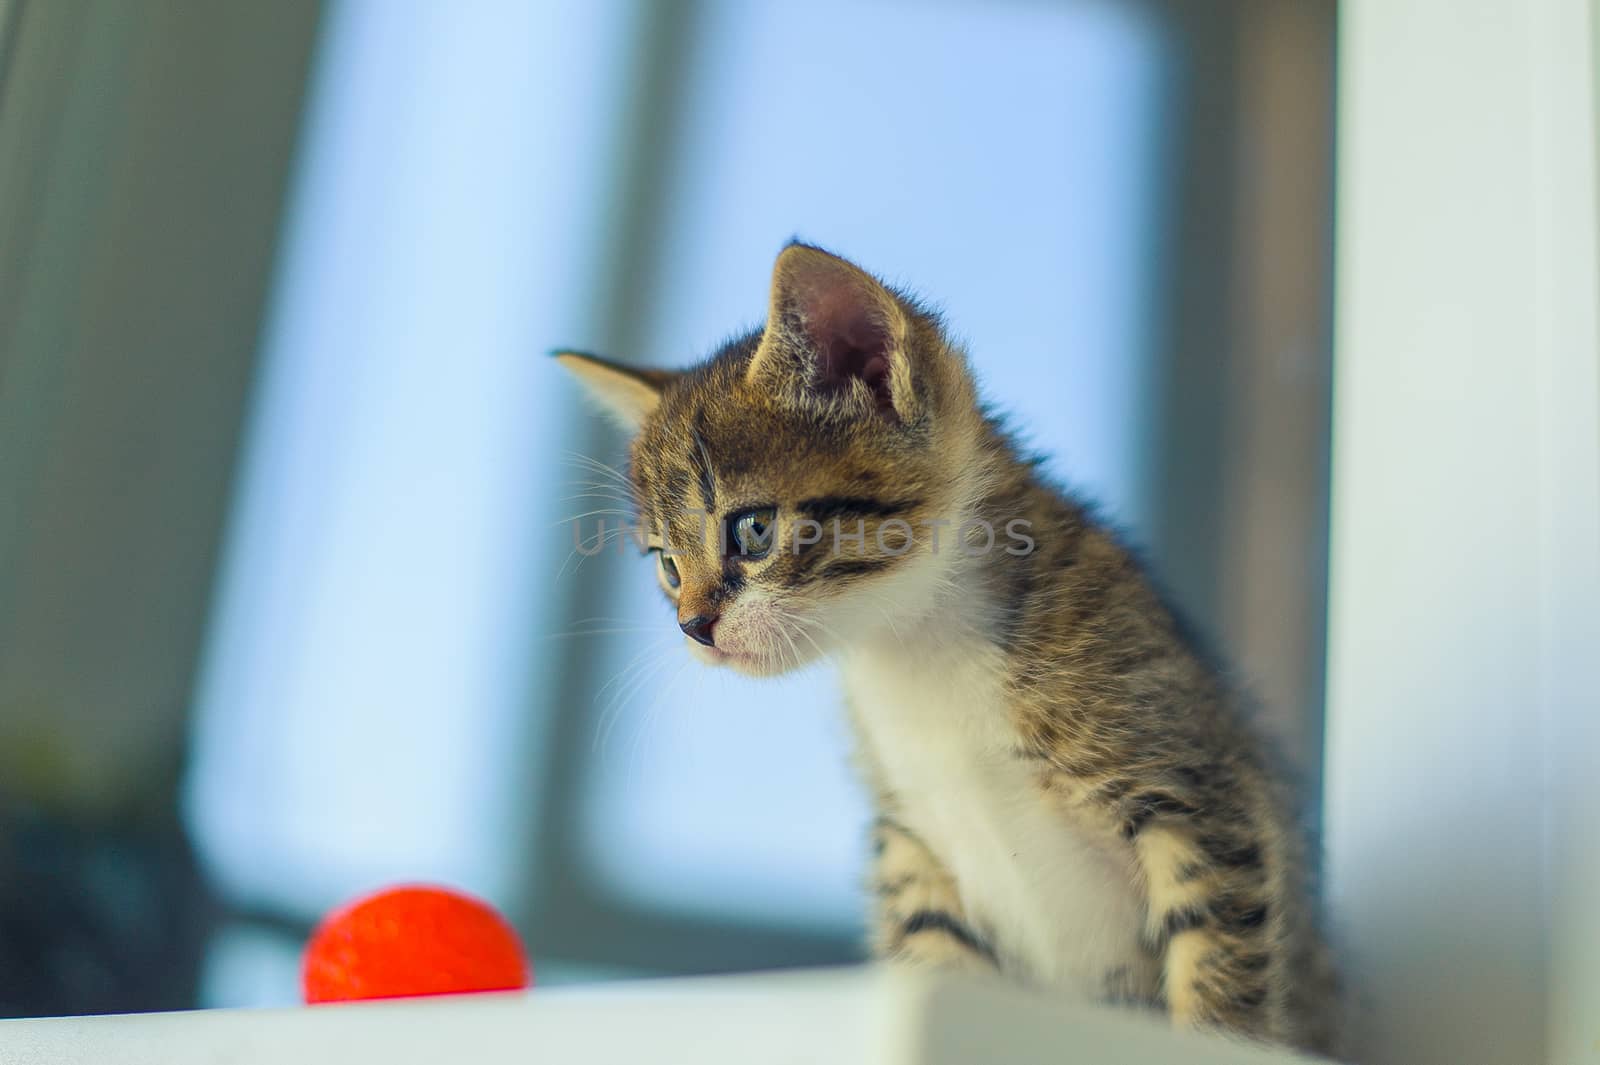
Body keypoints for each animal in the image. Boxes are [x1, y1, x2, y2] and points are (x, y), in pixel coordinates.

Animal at [560, 243, 1337, 1055]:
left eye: (751, 530)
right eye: (667, 567)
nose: (692, 626)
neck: (915, 649)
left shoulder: (1196, 787)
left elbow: (1219, 960)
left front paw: (1216, 1030)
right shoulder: (913, 847)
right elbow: (934, 954)